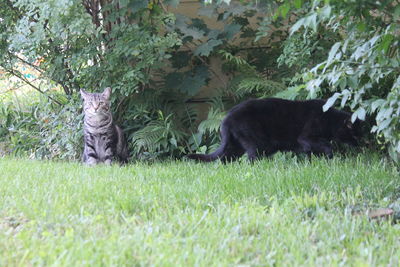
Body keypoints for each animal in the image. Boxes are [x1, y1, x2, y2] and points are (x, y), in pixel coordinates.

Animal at [188, 98, 362, 162]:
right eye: (354, 134)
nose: (361, 143)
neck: (328, 119)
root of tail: (226, 119)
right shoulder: (306, 138)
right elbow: (327, 146)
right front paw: (331, 159)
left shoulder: (307, 144)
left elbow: (311, 153)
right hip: (258, 143)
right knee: (251, 158)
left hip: (235, 146)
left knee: (225, 159)